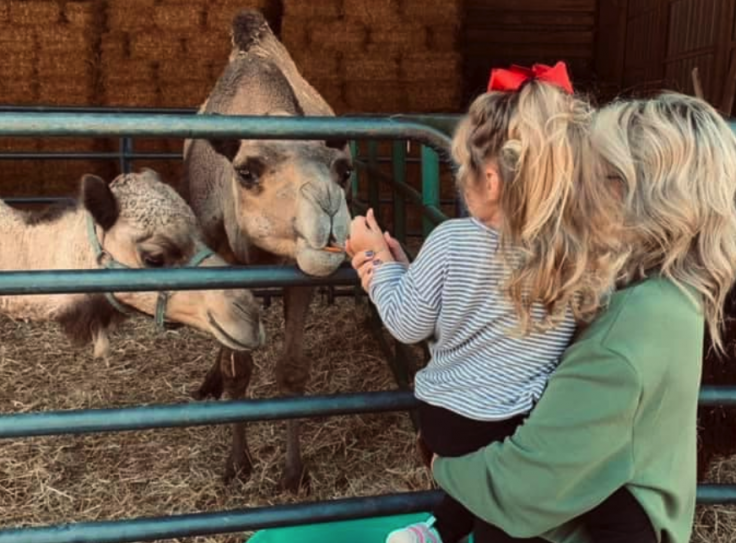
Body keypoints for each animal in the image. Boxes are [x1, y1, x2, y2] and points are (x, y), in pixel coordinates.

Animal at [180, 9, 350, 492]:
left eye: (344, 170)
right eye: (247, 171)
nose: (329, 217)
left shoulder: (298, 276)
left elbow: (291, 370)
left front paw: (294, 474)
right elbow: (238, 371)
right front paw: (237, 463)